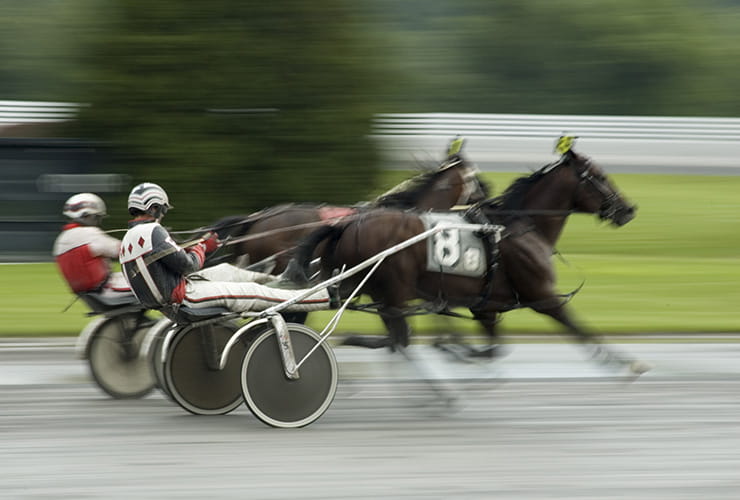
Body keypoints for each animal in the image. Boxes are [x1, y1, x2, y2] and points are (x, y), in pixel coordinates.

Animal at [292, 146, 652, 374]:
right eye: (600, 175)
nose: (629, 209)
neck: (522, 226)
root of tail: (346, 224)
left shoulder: (485, 306)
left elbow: (492, 348)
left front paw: (458, 352)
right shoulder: (542, 297)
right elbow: (580, 329)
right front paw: (625, 363)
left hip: (366, 286)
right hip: (385, 287)